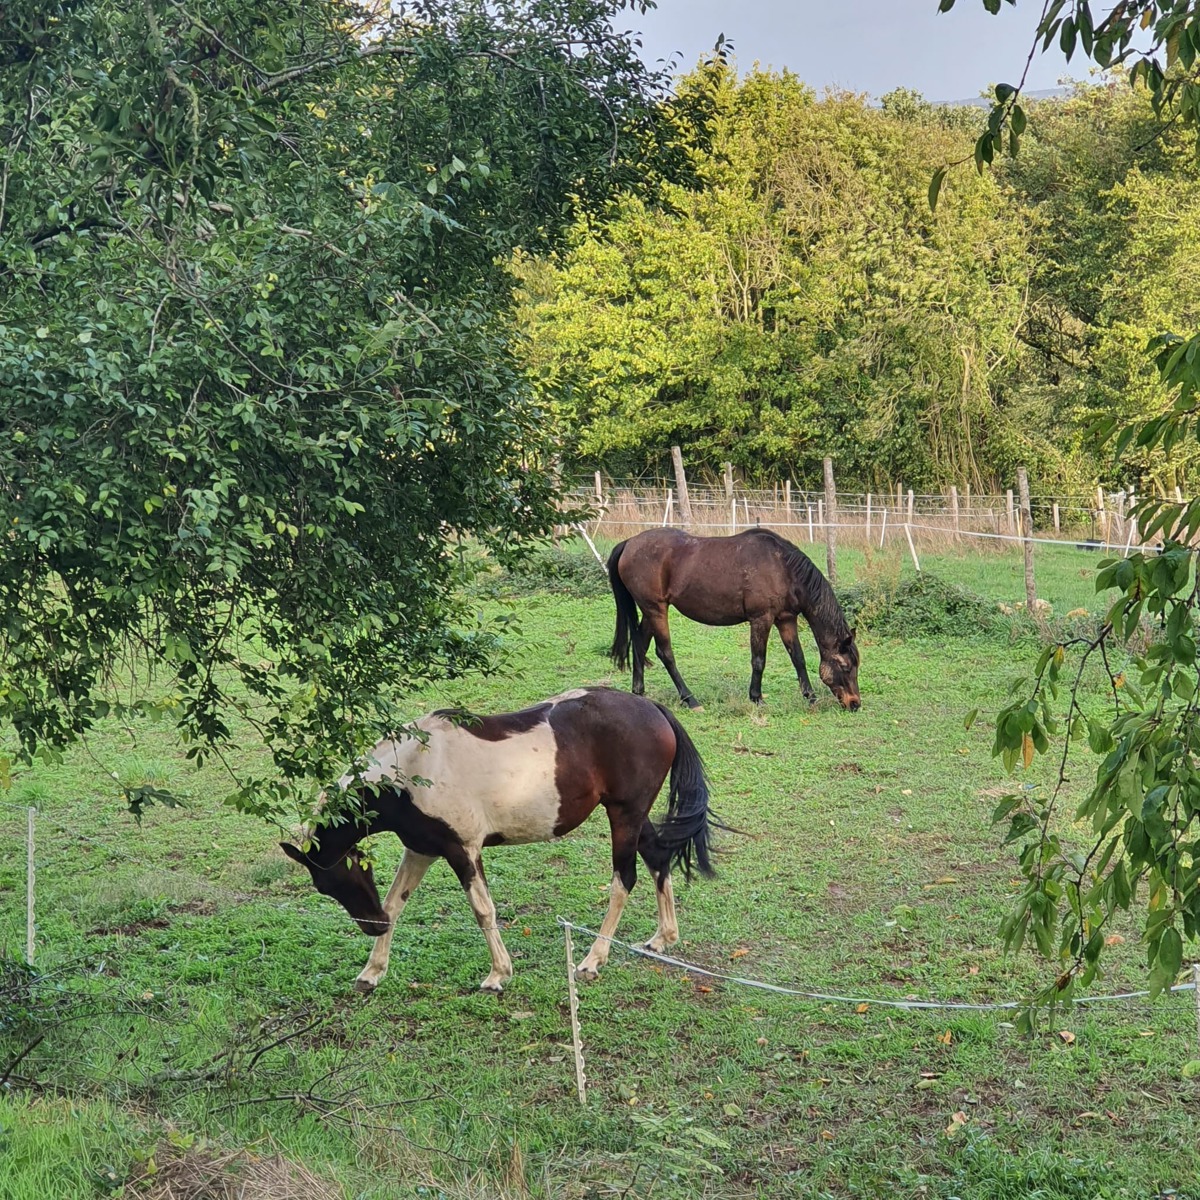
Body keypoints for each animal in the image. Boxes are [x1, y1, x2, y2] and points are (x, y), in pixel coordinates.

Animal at [280, 687, 718, 994]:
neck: (414, 771)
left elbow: (483, 911)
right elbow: (396, 902)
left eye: (341, 874)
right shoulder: (421, 850)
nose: (372, 926)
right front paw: (371, 972)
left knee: (623, 881)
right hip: (632, 816)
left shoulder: (463, 851)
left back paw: (593, 960)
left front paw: (498, 975)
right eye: (326, 887)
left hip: (624, 815)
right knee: (658, 856)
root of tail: (654, 710)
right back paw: (662, 938)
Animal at [607, 527, 860, 711]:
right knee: (665, 653)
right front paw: (757, 698)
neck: (783, 568)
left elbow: (798, 658)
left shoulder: (786, 619)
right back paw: (690, 699)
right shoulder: (761, 619)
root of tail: (629, 543)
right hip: (656, 610)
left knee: (640, 644)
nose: (854, 703)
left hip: (651, 611)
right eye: (846, 667)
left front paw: (810, 696)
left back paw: (639, 692)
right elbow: (759, 660)